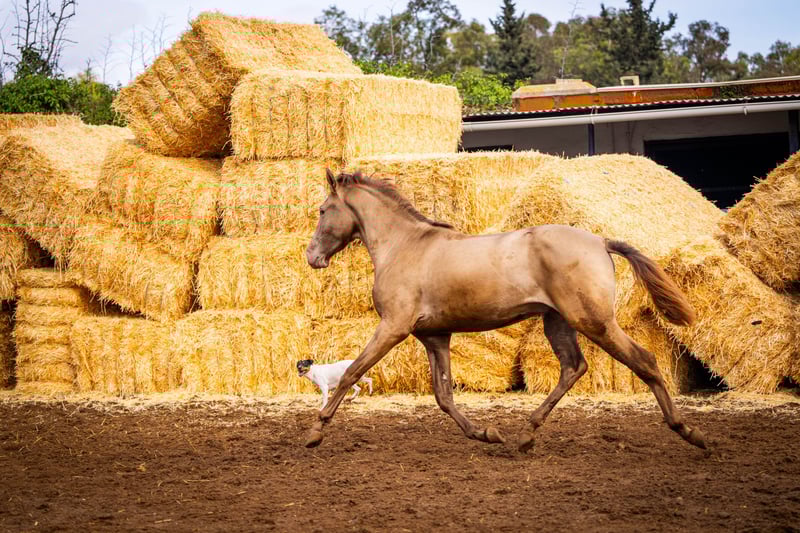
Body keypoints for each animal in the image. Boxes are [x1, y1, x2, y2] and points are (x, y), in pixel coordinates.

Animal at [303, 169, 707, 453]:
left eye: (323, 210)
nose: (312, 257)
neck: (405, 246)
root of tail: (599, 240)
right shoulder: (435, 336)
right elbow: (444, 396)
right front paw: (487, 433)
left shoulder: (392, 327)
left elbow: (351, 373)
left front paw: (314, 432)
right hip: (558, 322)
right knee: (573, 367)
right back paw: (526, 435)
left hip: (595, 322)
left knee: (644, 361)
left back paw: (690, 432)